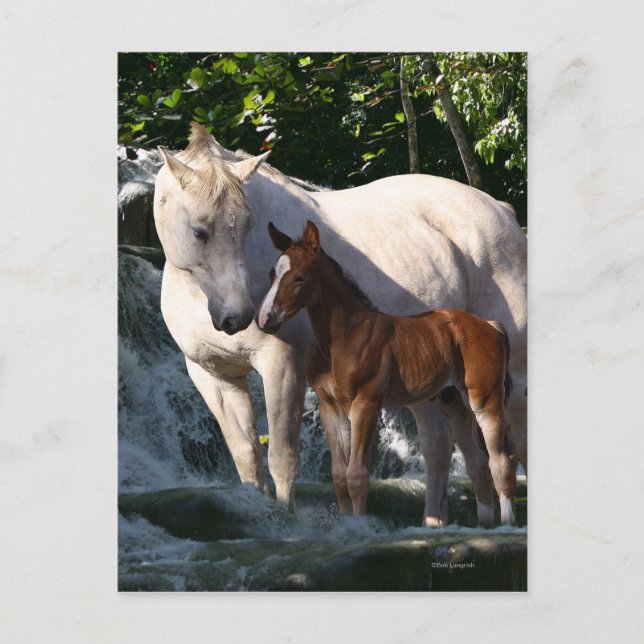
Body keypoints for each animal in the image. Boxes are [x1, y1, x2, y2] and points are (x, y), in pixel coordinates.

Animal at [258, 221, 518, 525]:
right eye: (272, 274)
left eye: (300, 277)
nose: (265, 319)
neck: (343, 338)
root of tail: (491, 326)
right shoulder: (331, 409)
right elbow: (339, 478)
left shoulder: (366, 405)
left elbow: (357, 476)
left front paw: (361, 527)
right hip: (453, 403)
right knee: (478, 465)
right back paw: (484, 525)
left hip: (485, 401)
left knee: (500, 462)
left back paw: (506, 525)